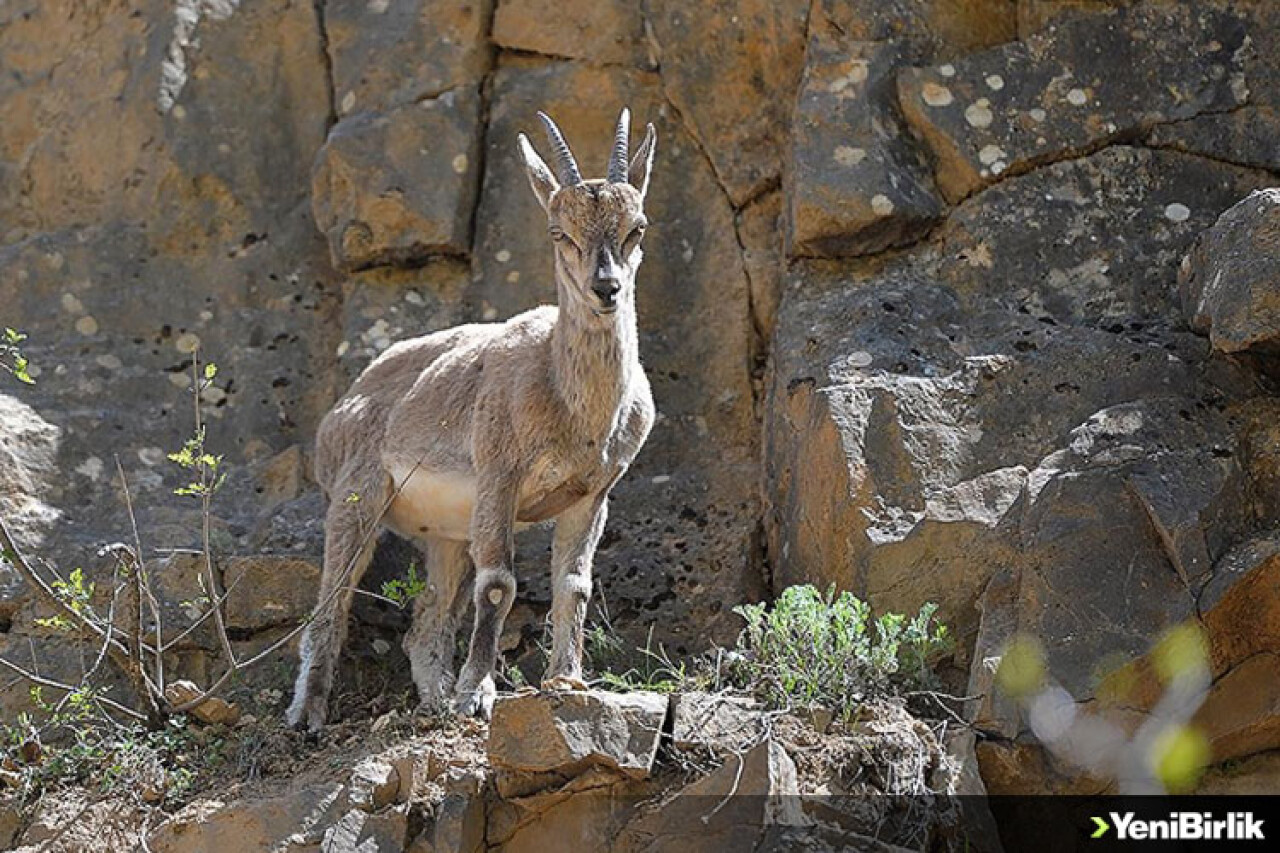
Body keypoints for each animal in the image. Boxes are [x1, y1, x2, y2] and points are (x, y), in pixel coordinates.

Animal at [285, 108, 655, 732]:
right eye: (559, 232)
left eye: (637, 228)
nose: (606, 288)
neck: (574, 410)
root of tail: (339, 409)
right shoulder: (498, 476)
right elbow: (500, 585)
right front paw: (476, 694)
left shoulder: (592, 494)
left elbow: (574, 585)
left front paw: (567, 680)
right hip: (358, 496)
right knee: (331, 601)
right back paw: (308, 712)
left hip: (447, 533)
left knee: (427, 620)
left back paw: (432, 698)